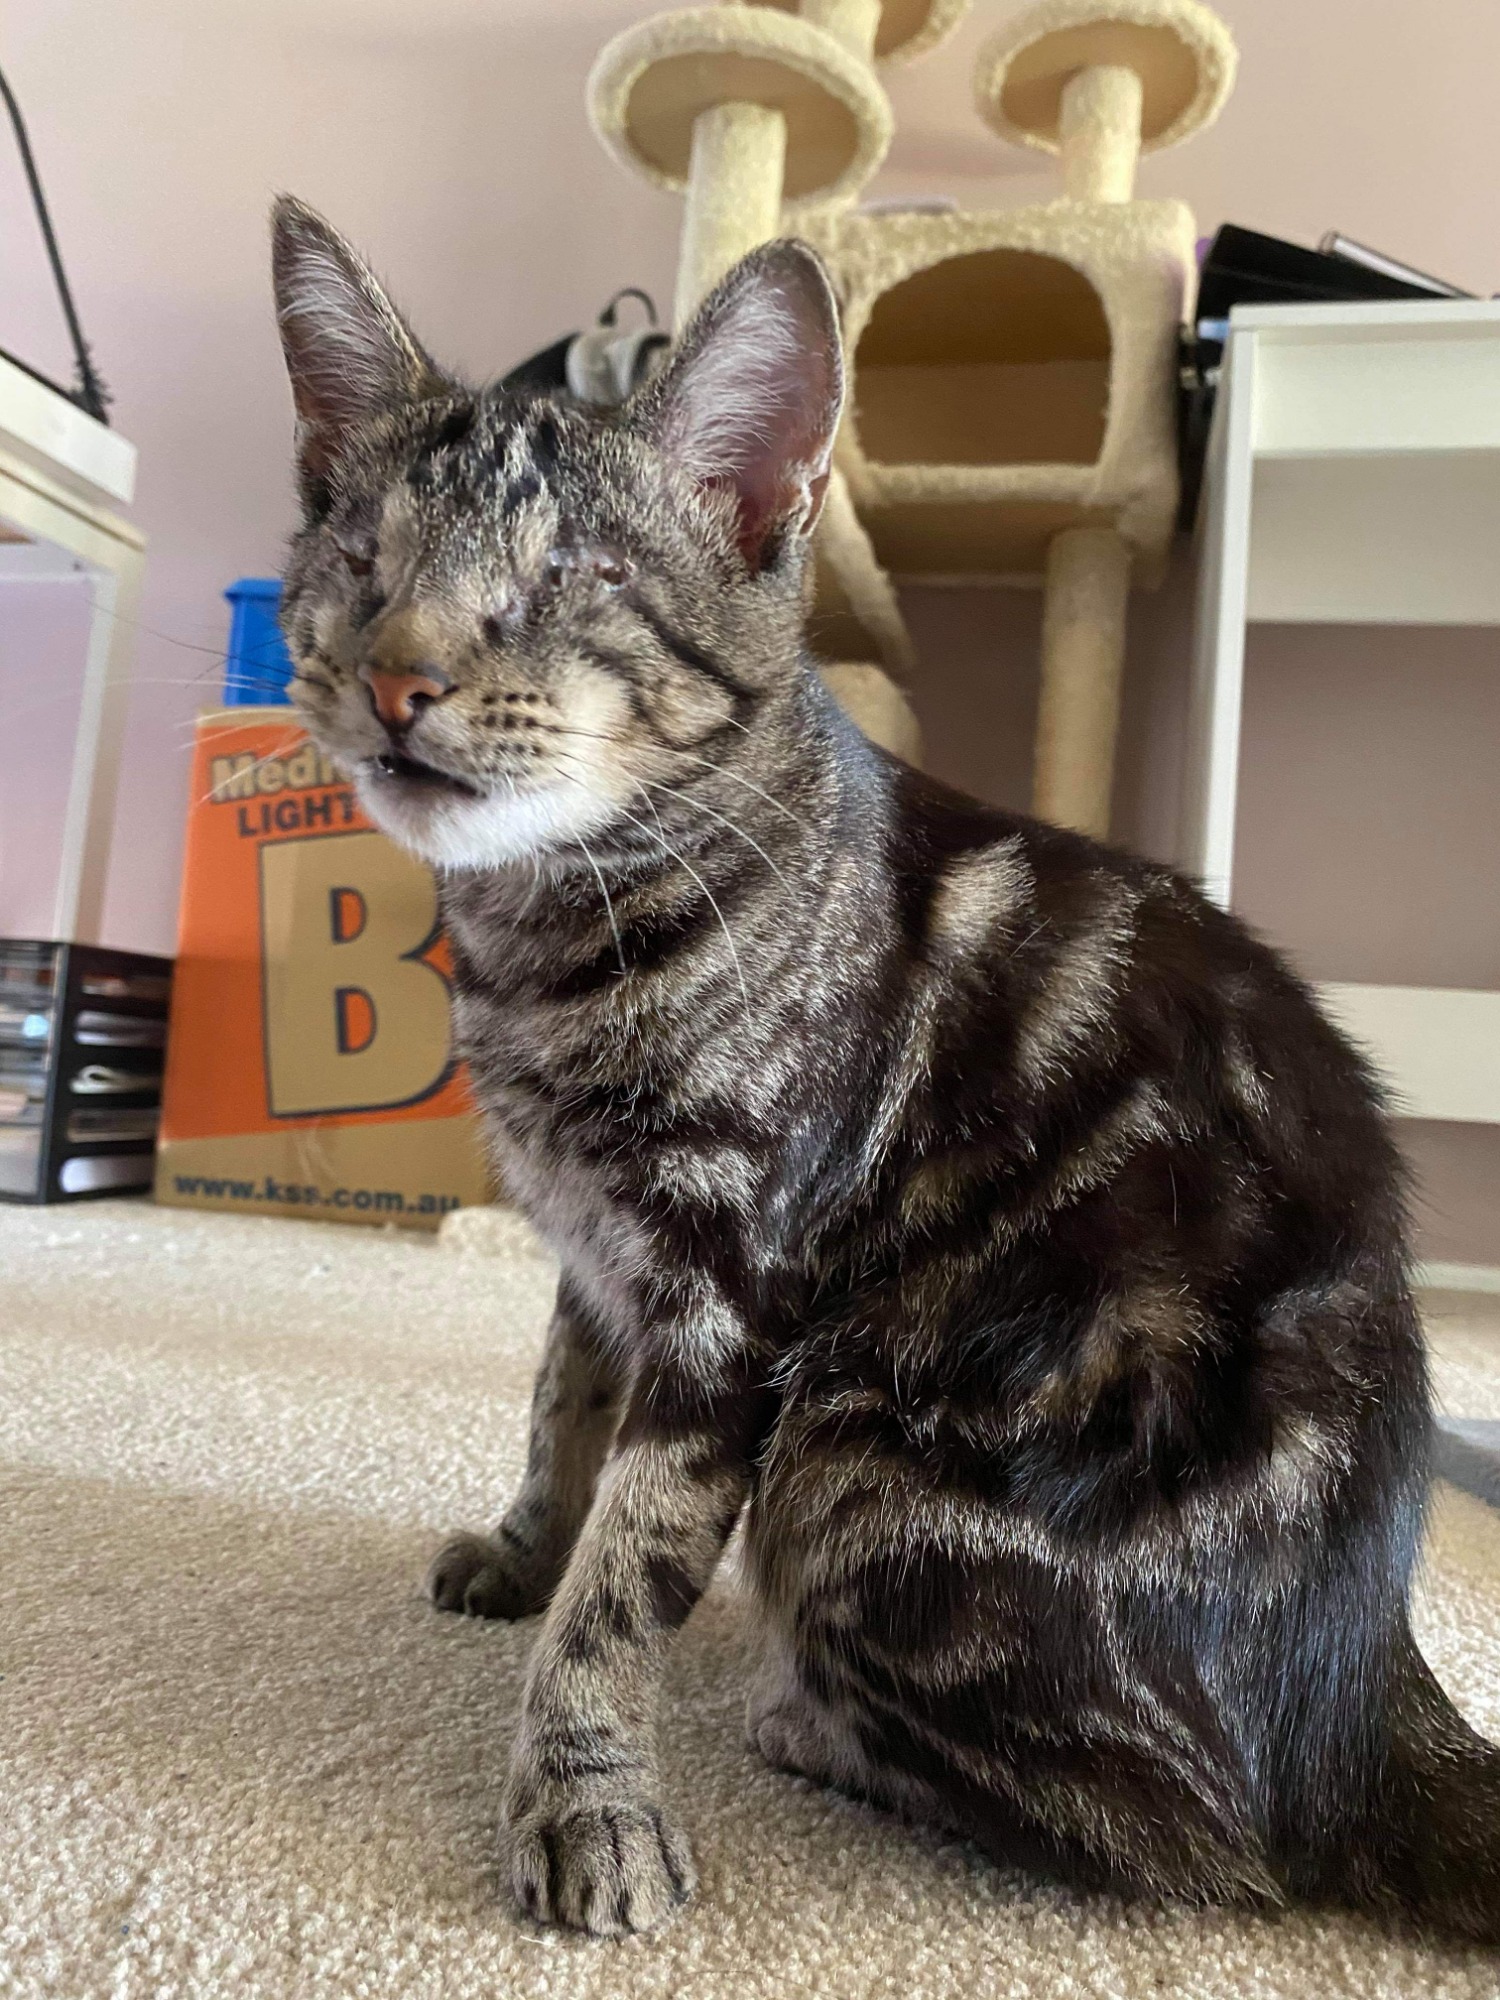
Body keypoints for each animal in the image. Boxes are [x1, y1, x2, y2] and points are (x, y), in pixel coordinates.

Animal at [269, 195, 1500, 1944]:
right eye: (359, 560)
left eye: (578, 576)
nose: (394, 676)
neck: (551, 941)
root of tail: (1368, 1721)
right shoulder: (593, 1250)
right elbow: (559, 1409)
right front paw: (521, 1553)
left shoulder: (724, 1296)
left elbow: (628, 1576)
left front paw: (588, 1790)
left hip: (853, 1440)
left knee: (1190, 1843)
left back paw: (811, 1722)